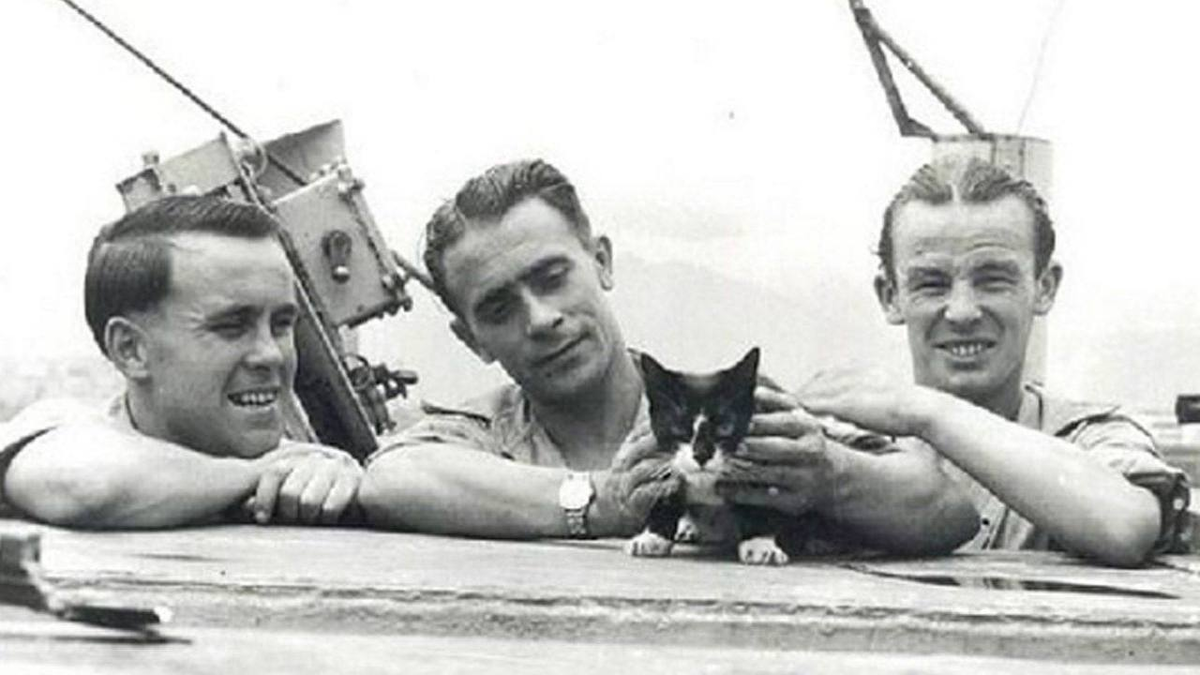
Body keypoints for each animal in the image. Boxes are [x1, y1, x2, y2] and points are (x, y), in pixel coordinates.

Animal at [625, 347, 794, 565]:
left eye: (725, 427)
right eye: (679, 428)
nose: (701, 454)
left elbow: (761, 496)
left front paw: (760, 544)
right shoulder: (662, 456)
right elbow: (664, 486)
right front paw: (652, 537)